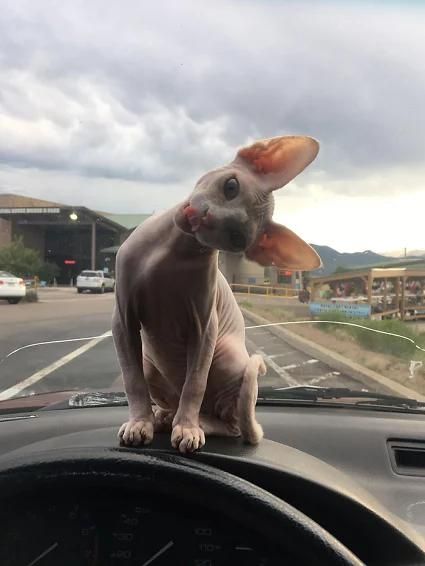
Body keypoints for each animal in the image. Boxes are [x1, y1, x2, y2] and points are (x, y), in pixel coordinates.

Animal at [112, 135, 322, 454]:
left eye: (236, 238)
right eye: (231, 186)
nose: (203, 218)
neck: (169, 252)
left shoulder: (204, 328)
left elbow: (195, 384)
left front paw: (187, 428)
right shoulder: (123, 319)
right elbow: (132, 379)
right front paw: (139, 422)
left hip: (225, 353)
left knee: (229, 423)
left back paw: (196, 423)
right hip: (152, 365)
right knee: (169, 395)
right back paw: (164, 417)